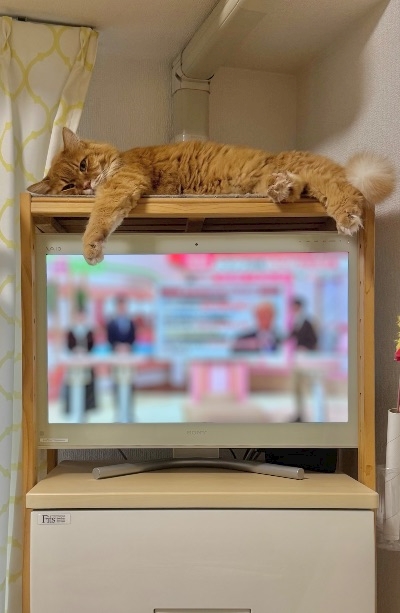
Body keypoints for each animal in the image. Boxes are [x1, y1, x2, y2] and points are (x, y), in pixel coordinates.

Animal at [28, 127, 395, 265]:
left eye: (84, 165)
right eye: (68, 187)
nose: (87, 185)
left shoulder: (124, 181)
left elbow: (101, 214)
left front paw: (90, 247)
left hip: (315, 175)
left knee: (342, 190)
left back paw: (347, 217)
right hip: (272, 181)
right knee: (298, 187)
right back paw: (282, 187)